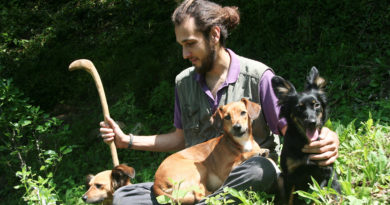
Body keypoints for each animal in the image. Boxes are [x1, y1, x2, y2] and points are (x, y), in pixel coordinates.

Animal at [272, 67, 340, 203]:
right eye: (299, 107)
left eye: (316, 104)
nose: (312, 122)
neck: (305, 140)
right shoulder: (289, 176)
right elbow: (289, 200)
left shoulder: (324, 173)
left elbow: (316, 197)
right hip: (281, 178)